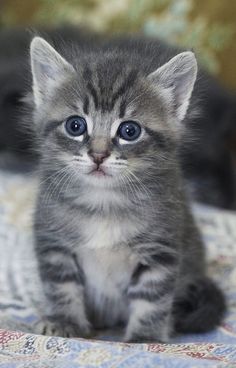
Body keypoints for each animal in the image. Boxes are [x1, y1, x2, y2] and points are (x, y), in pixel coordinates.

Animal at [30, 35, 225, 342]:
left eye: (129, 131)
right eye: (76, 125)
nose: (98, 155)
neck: (104, 204)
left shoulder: (160, 250)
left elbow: (152, 300)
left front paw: (145, 339)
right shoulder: (53, 243)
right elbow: (62, 287)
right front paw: (64, 322)